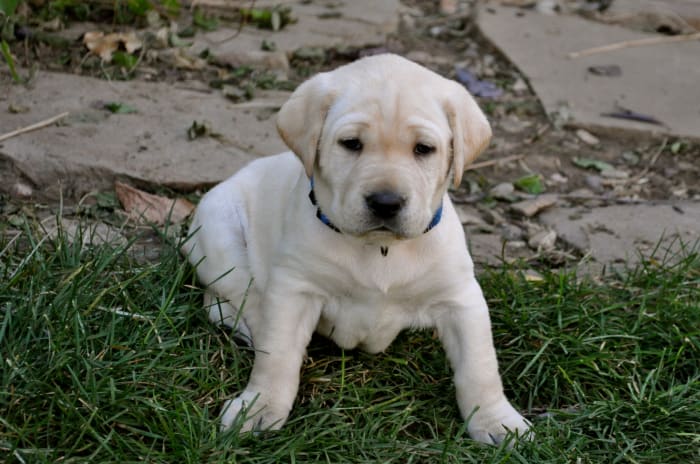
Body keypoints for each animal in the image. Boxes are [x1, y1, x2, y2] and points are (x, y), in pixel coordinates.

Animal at [185, 52, 532, 444]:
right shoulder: (294, 288)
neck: (380, 248)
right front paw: (259, 406)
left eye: (423, 149)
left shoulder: (460, 298)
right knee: (231, 300)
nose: (385, 202)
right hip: (218, 231)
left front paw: (496, 420)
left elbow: (480, 365)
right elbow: (277, 356)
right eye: (351, 143)